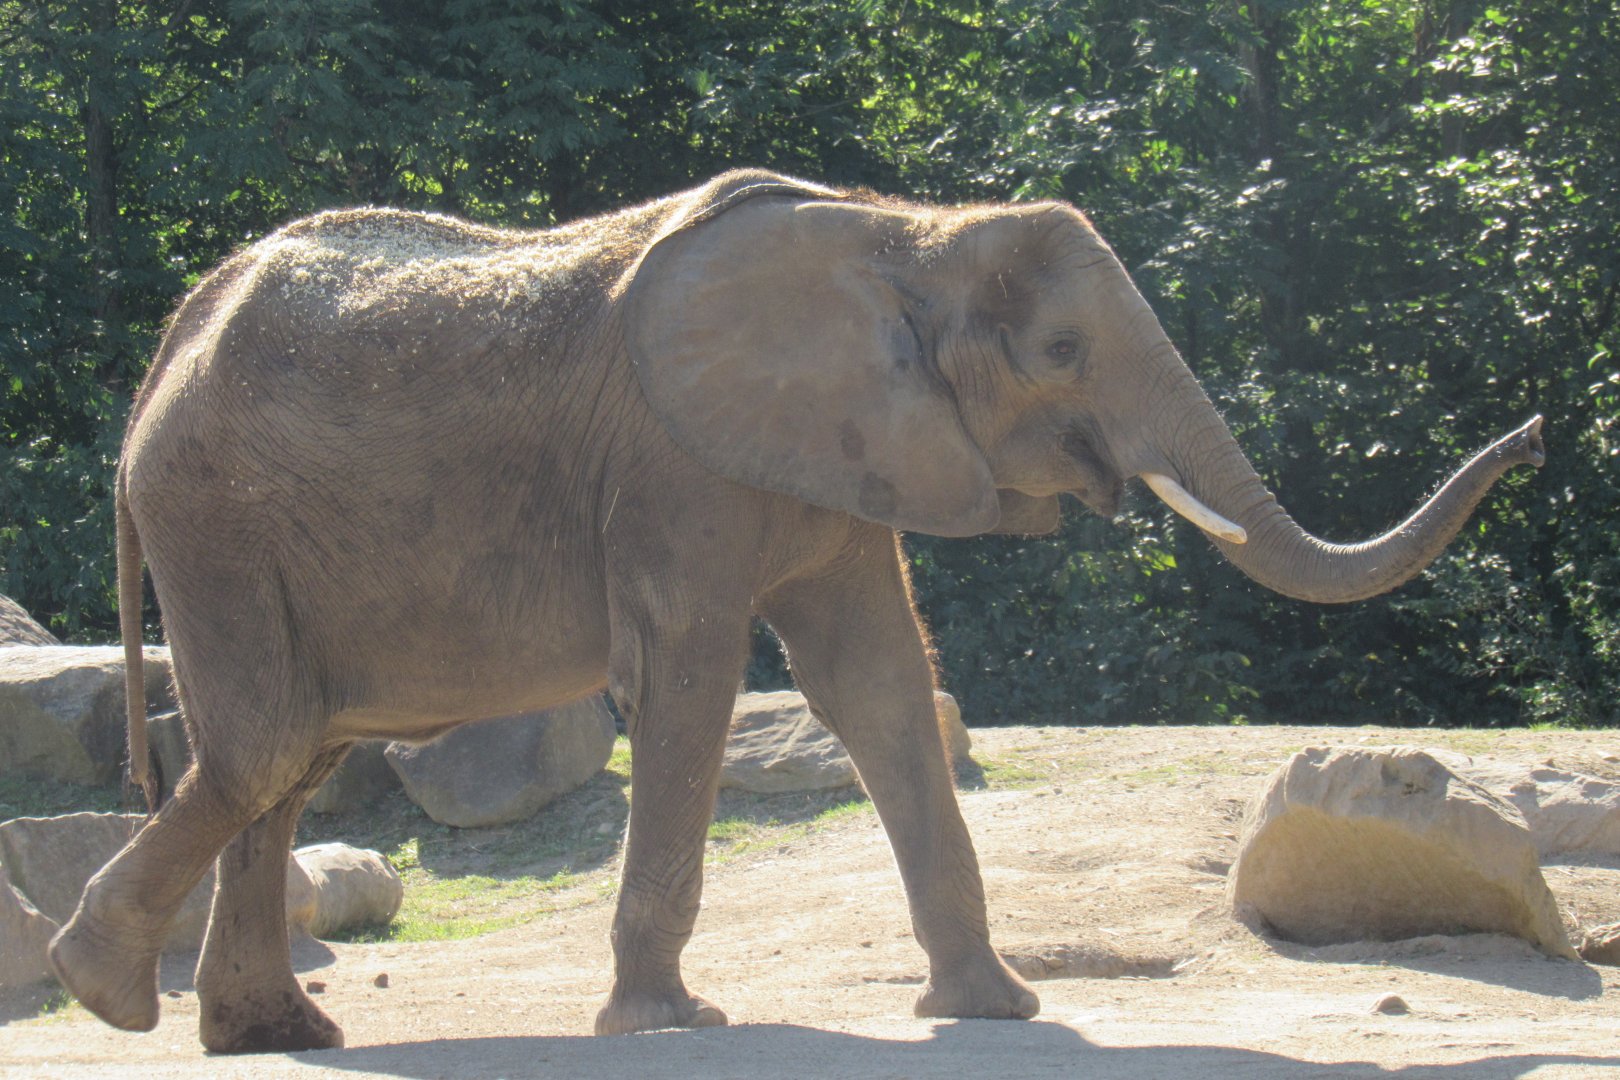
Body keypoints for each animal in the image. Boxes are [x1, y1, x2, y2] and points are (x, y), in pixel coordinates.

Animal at [49, 169, 1545, 1053]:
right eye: (1061, 350)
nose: (1533, 436)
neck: (906, 228)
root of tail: (161, 359)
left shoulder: (849, 457)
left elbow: (878, 682)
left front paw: (997, 1012)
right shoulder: (675, 470)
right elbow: (694, 678)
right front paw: (670, 1022)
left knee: (291, 759)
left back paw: (273, 1037)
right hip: (217, 520)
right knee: (261, 747)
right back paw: (105, 994)